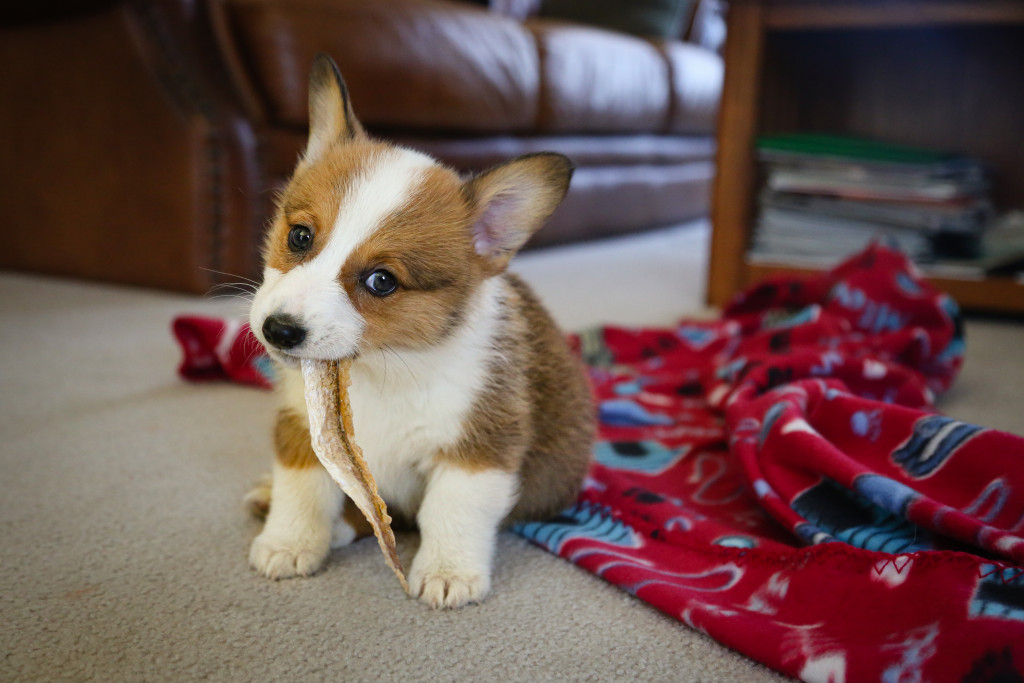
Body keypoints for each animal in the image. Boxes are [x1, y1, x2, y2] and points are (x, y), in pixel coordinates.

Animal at [247, 54, 598, 610]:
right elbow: (302, 489)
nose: (278, 331)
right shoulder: (302, 426)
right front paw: (288, 542)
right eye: (299, 236)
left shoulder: (478, 449)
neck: (379, 369)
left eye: (382, 281)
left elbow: (450, 511)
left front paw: (448, 573)